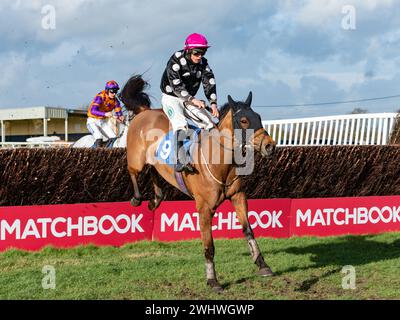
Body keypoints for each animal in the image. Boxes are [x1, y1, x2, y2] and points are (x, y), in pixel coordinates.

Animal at [119, 75, 276, 292]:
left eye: (259, 117)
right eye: (244, 121)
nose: (270, 146)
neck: (220, 163)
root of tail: (144, 112)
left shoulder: (238, 197)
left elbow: (248, 230)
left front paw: (262, 264)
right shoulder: (204, 209)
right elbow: (209, 246)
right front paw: (212, 280)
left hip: (154, 162)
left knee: (153, 172)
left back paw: (156, 199)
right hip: (136, 159)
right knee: (133, 171)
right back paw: (137, 198)